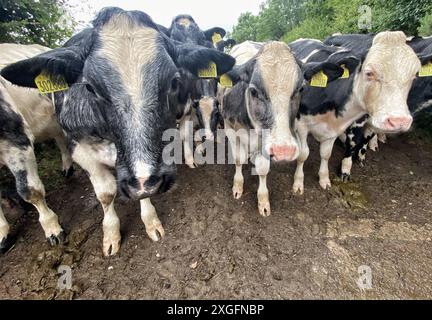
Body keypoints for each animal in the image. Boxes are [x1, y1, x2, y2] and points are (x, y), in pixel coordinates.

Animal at [219, 40, 344, 215]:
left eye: (301, 89)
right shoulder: (229, 127)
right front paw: (237, 187)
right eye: (253, 91)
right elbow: (238, 159)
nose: (283, 151)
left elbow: (263, 168)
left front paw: (263, 201)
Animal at [288, 31, 420, 192]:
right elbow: (303, 154)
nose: (399, 121)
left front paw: (324, 178)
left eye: (415, 75)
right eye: (369, 73)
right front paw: (298, 183)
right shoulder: (302, 125)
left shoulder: (335, 129)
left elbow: (326, 154)